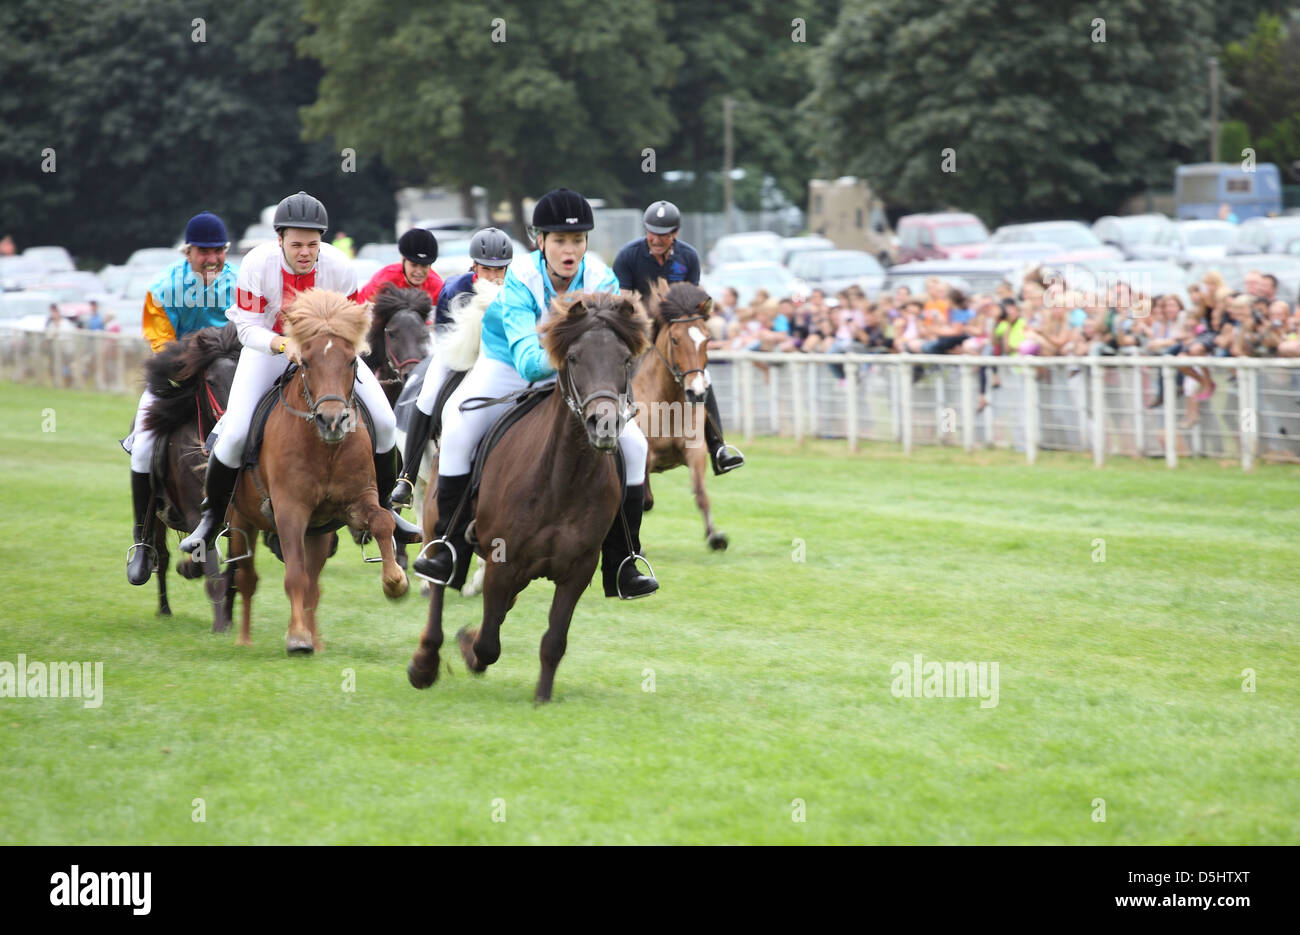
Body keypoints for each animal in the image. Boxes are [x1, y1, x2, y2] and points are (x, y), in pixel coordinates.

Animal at [140, 322, 244, 629]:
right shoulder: (195, 513)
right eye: (210, 380)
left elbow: (232, 572)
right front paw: (221, 624)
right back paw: (164, 607)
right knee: (160, 556)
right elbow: (210, 570)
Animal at [223, 288, 405, 655]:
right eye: (306, 362)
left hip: (319, 532)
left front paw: (395, 582)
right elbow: (293, 575)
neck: (326, 449)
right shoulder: (289, 510)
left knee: (313, 583)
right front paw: (296, 637)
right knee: (248, 578)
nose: (332, 421)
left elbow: (382, 520)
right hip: (240, 521)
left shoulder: (356, 501)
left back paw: (315, 638)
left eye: (351, 361)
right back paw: (246, 639)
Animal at [405, 292, 650, 702]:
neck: (563, 479)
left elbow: (553, 640)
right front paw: (469, 649)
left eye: (626, 360)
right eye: (573, 358)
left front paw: (542, 698)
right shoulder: (502, 563)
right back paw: (424, 663)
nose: (604, 424)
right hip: (440, 521)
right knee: (440, 583)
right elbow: (489, 642)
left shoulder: (578, 570)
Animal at [631, 279, 728, 548]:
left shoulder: (696, 451)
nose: (696, 393)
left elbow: (701, 493)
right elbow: (645, 501)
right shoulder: (645, 456)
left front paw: (715, 537)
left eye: (706, 339)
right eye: (675, 340)